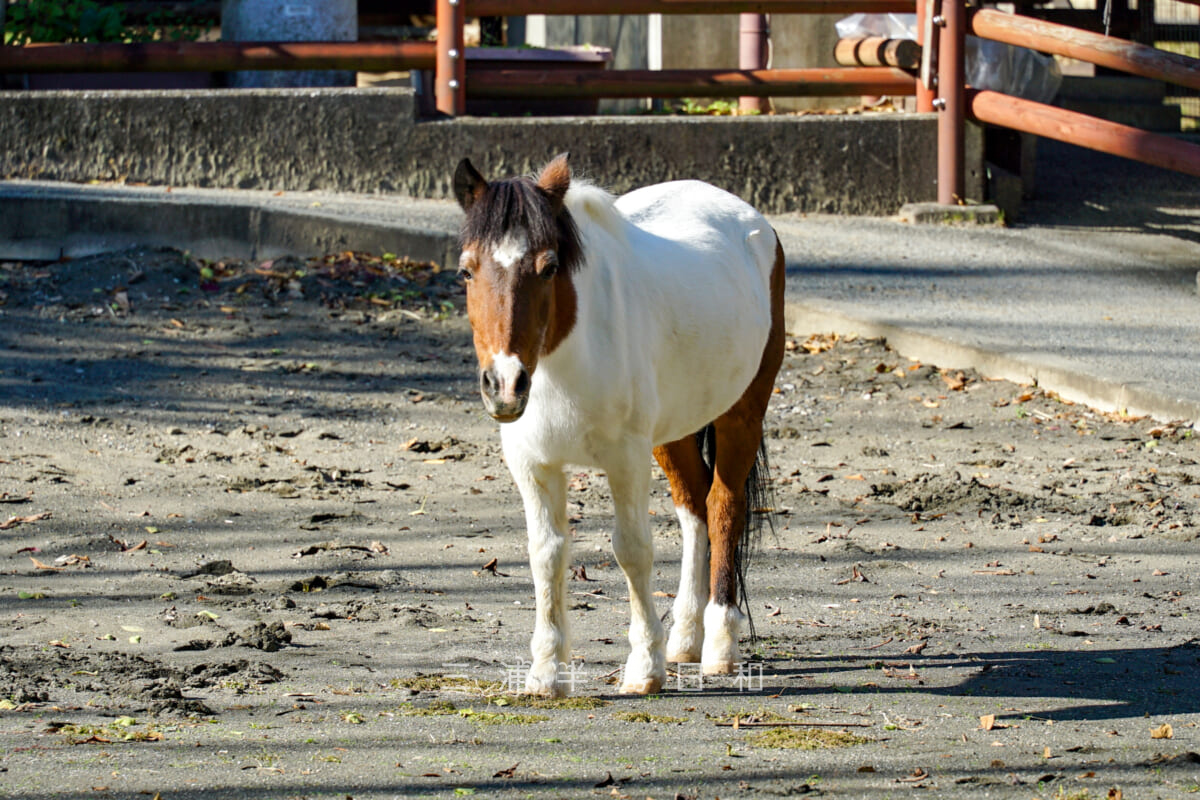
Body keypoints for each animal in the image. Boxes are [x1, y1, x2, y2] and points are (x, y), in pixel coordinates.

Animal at [453, 154, 782, 695]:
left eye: (548, 267)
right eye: (466, 270)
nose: (504, 384)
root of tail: (755, 223)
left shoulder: (625, 459)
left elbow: (632, 551)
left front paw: (644, 669)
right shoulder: (533, 465)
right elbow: (547, 554)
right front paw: (546, 674)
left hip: (742, 414)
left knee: (722, 507)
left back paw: (719, 645)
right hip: (673, 433)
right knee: (693, 507)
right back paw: (685, 639)